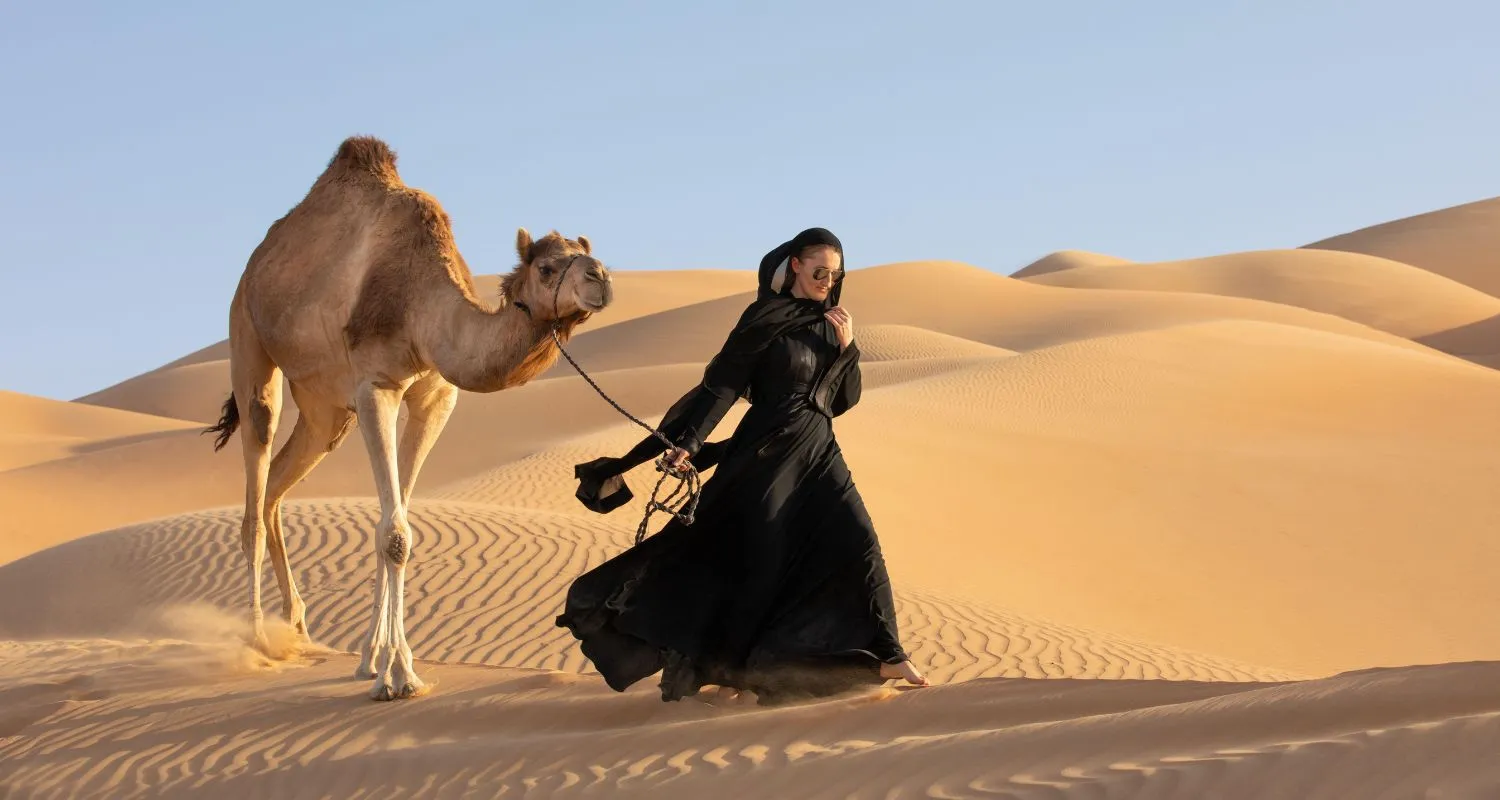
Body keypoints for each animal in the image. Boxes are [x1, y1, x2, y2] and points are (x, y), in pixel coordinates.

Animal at [203, 135, 614, 700]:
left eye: (587, 254)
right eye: (549, 268)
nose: (602, 278)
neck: (422, 305)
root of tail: (255, 264)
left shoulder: (435, 396)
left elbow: (397, 521)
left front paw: (373, 658)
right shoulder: (376, 386)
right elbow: (393, 533)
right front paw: (398, 676)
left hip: (325, 411)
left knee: (275, 492)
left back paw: (298, 627)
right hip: (247, 335)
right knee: (256, 467)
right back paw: (259, 640)